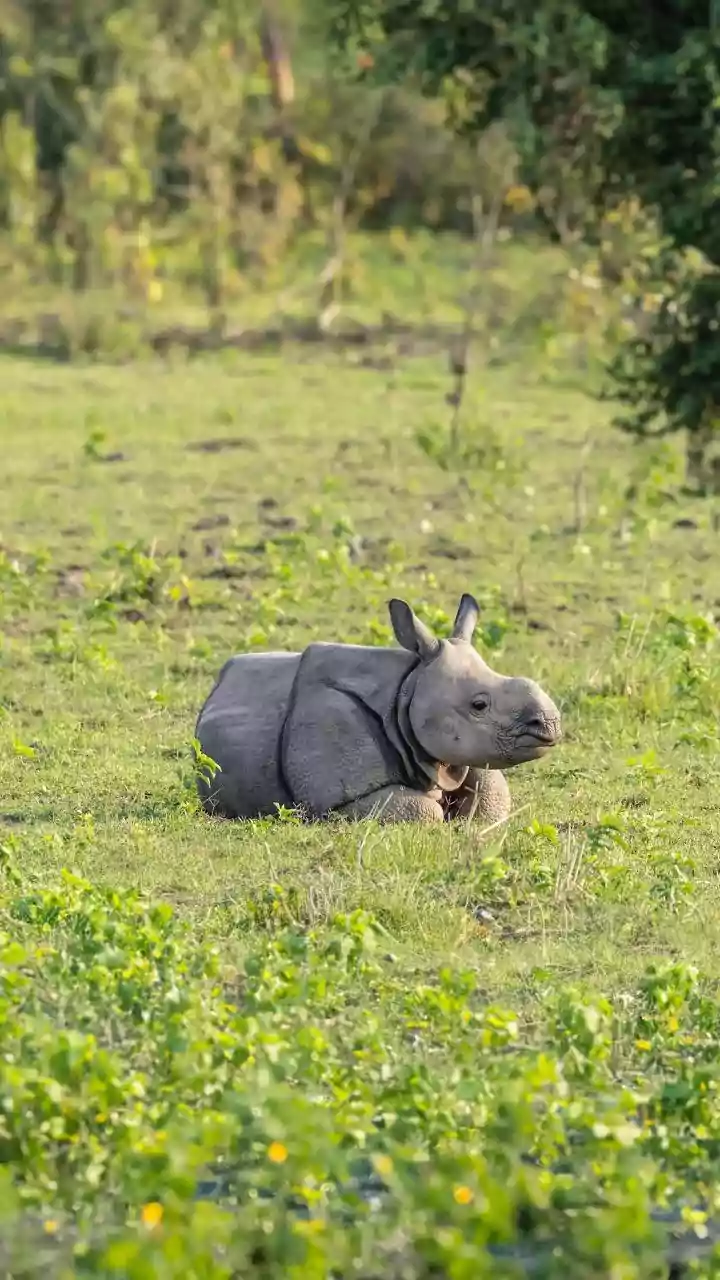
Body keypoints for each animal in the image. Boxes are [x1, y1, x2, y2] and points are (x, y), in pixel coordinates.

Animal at [195, 593, 562, 824]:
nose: (550, 725)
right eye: (479, 705)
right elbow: (423, 811)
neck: (408, 689)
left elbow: (491, 791)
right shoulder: (336, 794)